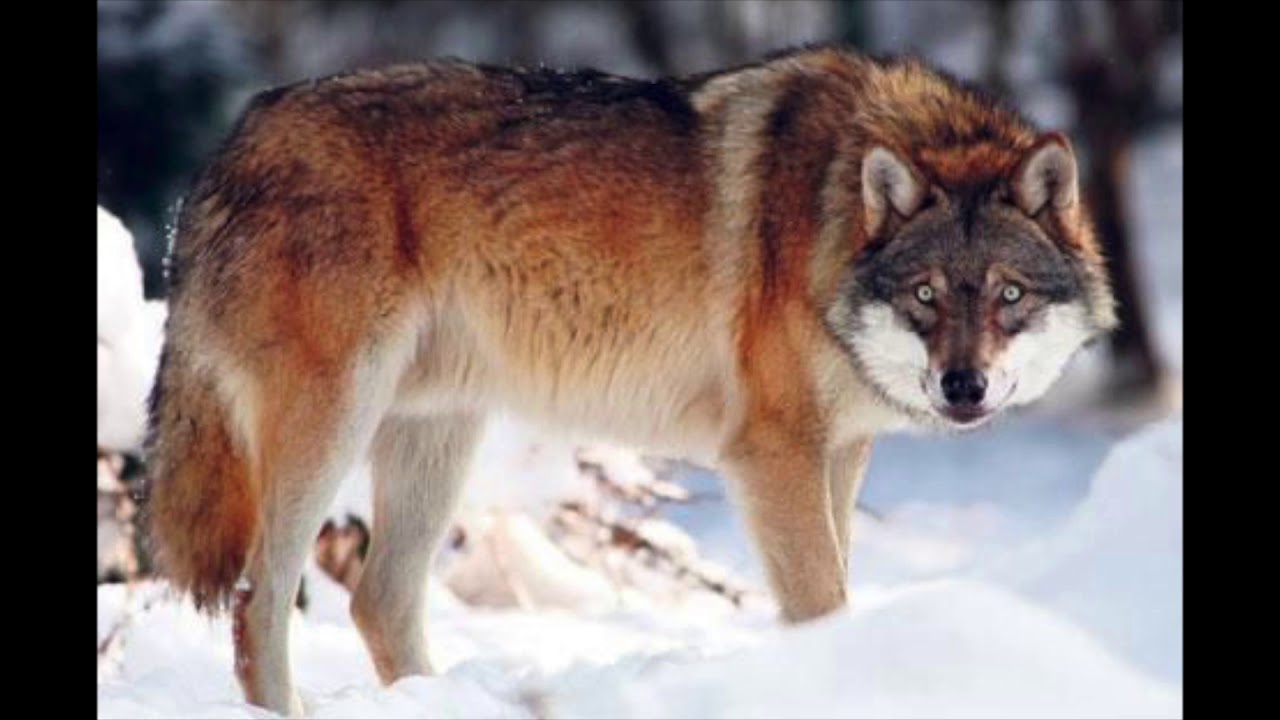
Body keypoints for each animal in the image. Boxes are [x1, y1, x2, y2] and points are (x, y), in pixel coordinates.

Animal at [144, 45, 1116, 715]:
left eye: (1009, 295)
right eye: (926, 295)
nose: (963, 387)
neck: (830, 216)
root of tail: (232, 141)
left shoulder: (841, 453)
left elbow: (840, 592)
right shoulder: (772, 455)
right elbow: (821, 598)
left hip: (439, 436)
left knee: (379, 601)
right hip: (332, 427)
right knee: (257, 603)